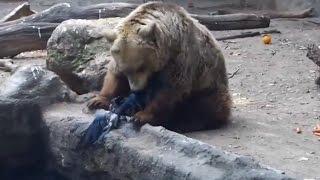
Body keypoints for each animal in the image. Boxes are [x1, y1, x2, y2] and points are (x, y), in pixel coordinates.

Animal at [87, 1, 232, 132]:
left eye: (141, 67)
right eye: (126, 70)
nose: (136, 89)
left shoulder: (179, 58)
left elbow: (167, 91)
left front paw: (141, 116)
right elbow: (114, 76)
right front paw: (97, 100)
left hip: (208, 84)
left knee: (205, 105)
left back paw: (186, 123)